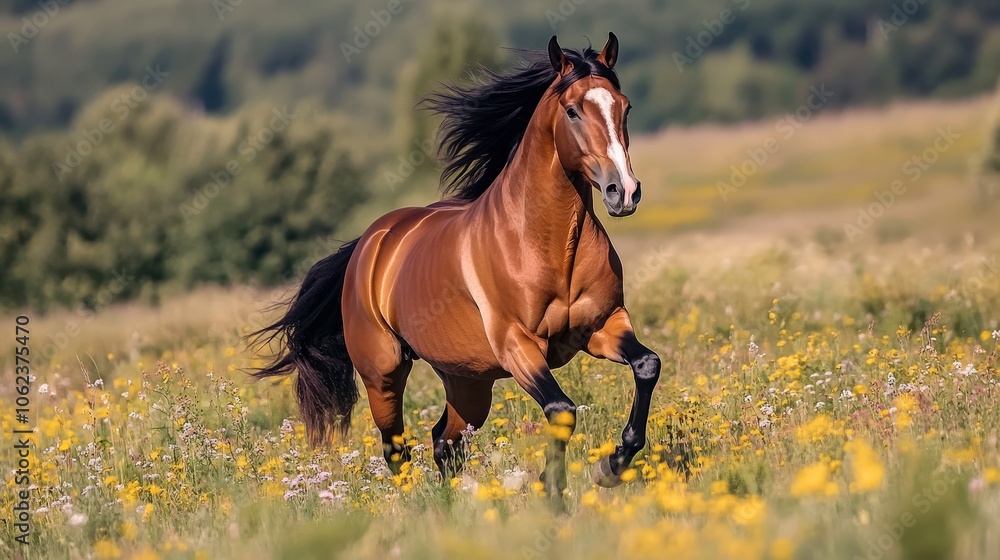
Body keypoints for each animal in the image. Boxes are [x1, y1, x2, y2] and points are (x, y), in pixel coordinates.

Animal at [252, 33, 661, 502]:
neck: (553, 247)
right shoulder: (518, 345)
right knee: (397, 447)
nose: (623, 191)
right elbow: (561, 410)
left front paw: (612, 466)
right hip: (384, 374)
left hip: (468, 382)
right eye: (572, 110)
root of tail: (371, 243)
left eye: (624, 107)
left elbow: (647, 366)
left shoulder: (603, 326)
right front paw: (554, 491)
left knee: (443, 441)